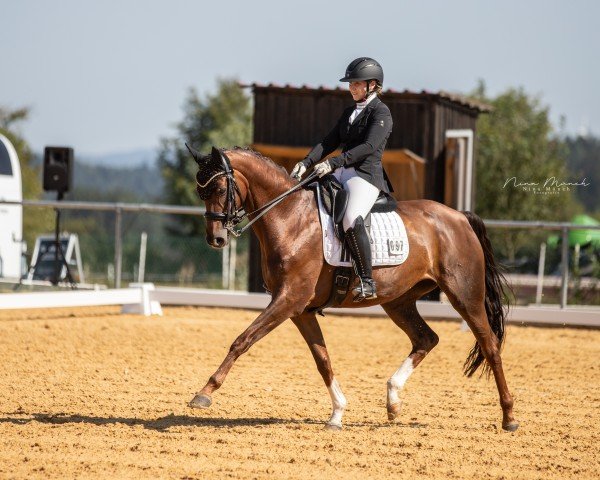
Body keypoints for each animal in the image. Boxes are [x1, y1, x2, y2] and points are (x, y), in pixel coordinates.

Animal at [185, 145, 516, 432]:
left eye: (219, 189)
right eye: (201, 192)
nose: (216, 239)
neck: (290, 218)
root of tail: (460, 217)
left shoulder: (289, 300)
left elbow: (242, 340)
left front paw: (204, 393)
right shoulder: (300, 310)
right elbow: (322, 360)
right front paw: (337, 414)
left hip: (465, 295)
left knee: (490, 346)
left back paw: (509, 417)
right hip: (399, 301)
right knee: (426, 338)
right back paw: (393, 401)